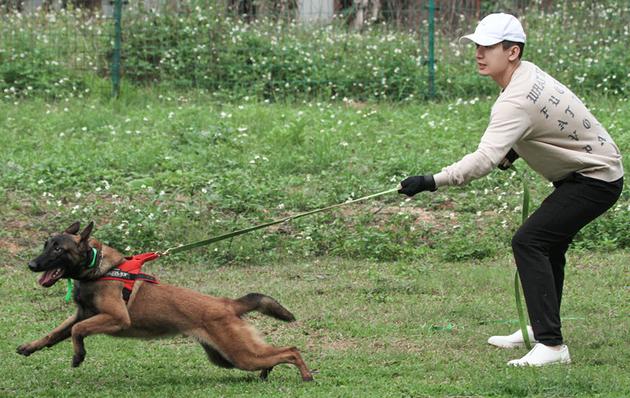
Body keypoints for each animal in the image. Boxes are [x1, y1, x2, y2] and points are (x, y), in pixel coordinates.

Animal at [18, 222, 314, 380]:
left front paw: (79, 355)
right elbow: (56, 333)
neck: (97, 268)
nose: (31, 265)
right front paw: (30, 346)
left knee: (291, 350)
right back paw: (269, 372)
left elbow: (77, 332)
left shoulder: (116, 318)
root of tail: (227, 303)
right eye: (46, 244)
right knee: (272, 355)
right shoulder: (82, 314)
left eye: (59, 249)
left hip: (240, 354)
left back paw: (306, 375)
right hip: (226, 357)